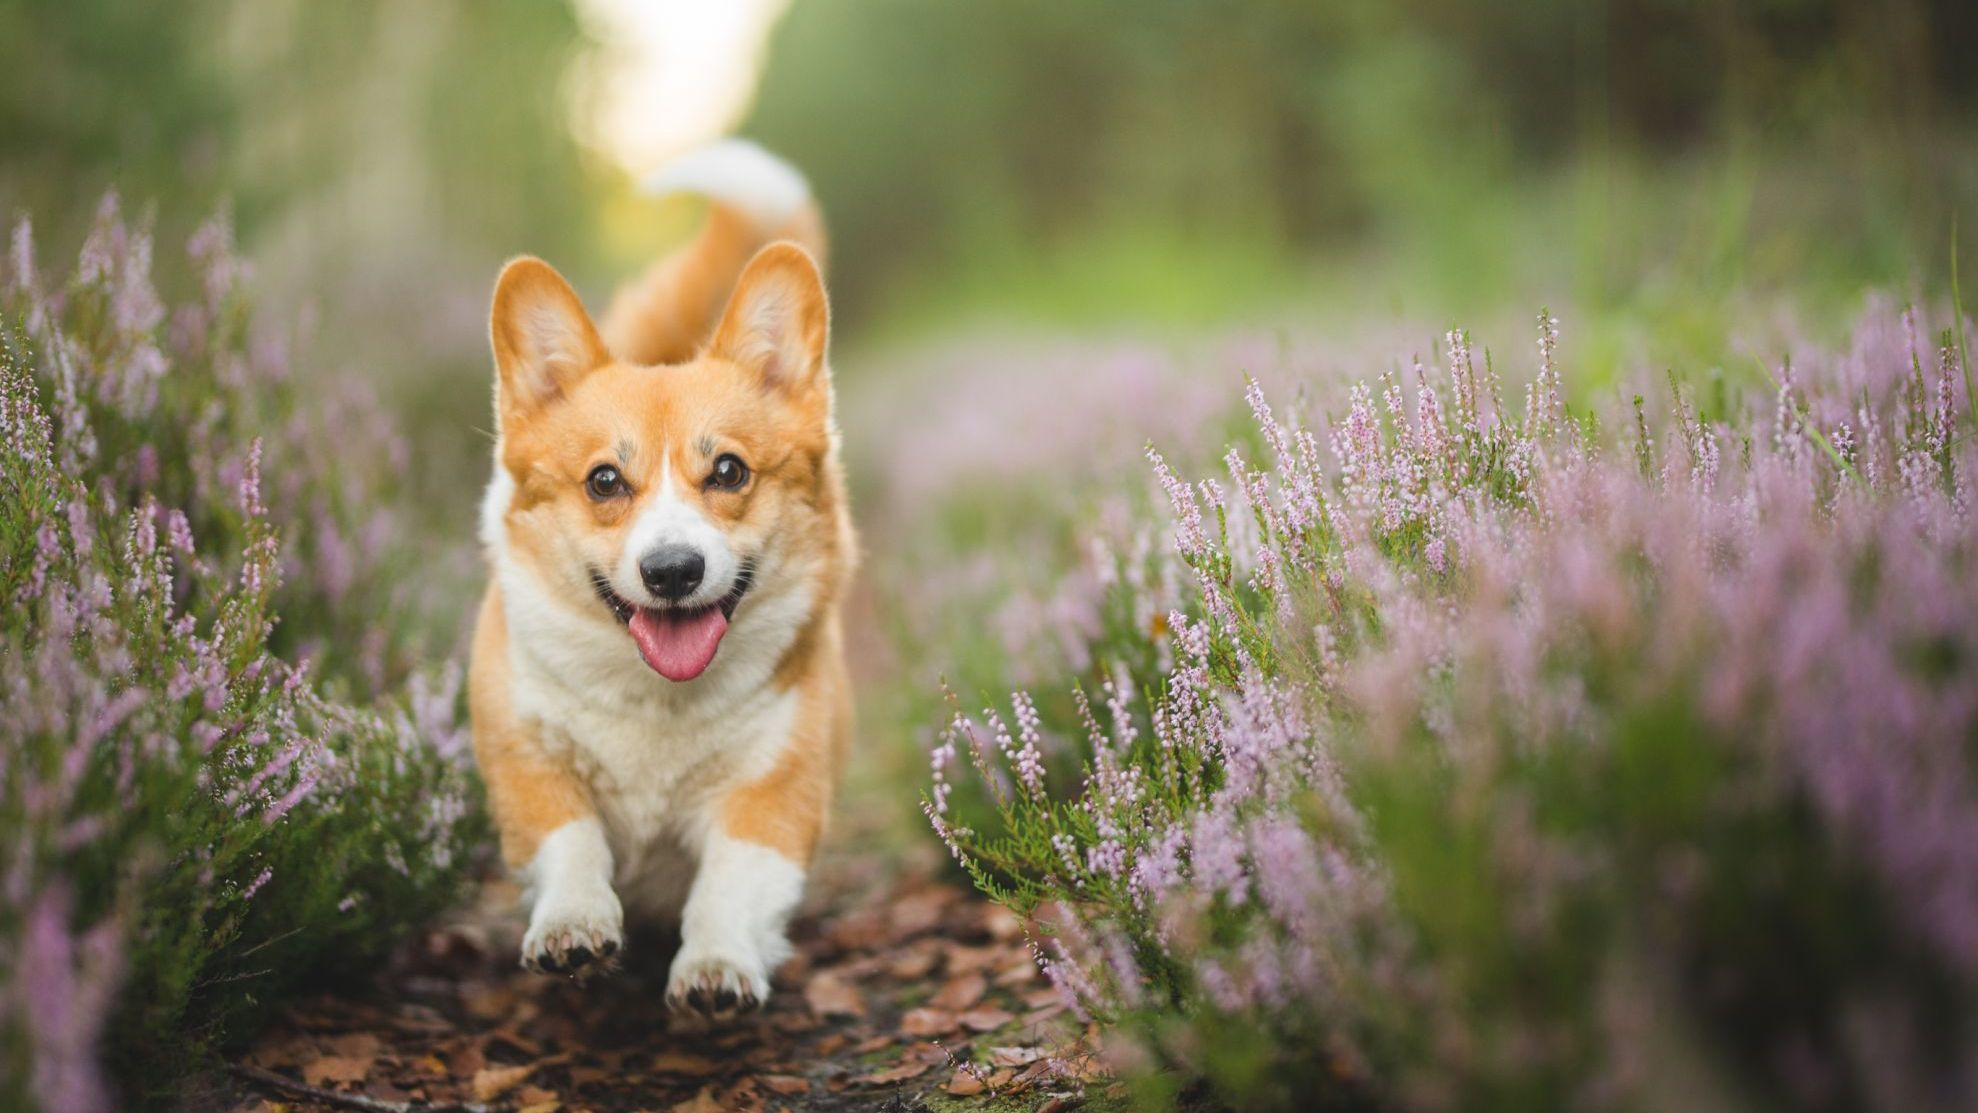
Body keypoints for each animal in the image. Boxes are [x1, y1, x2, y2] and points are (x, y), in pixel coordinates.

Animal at [476, 139, 858, 1020]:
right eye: (604, 481)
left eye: (729, 470)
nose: (673, 570)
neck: (656, 701)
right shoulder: (528, 763)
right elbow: (571, 840)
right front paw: (574, 926)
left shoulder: (771, 794)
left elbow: (727, 885)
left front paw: (716, 966)